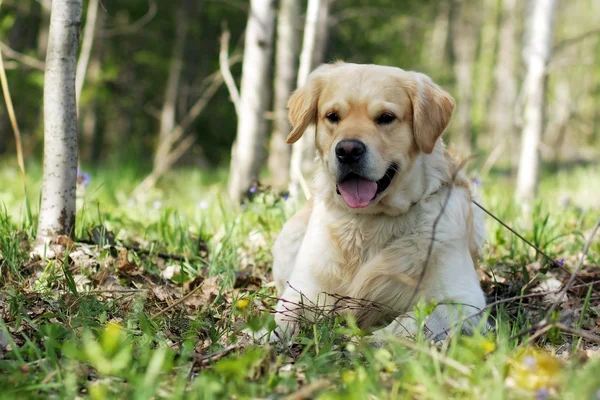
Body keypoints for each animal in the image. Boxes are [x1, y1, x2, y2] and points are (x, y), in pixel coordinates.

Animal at [270, 61, 486, 342]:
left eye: (386, 117)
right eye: (332, 116)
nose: (348, 150)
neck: (370, 221)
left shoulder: (464, 301)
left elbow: (411, 321)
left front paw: (370, 341)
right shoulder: (303, 289)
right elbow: (279, 320)